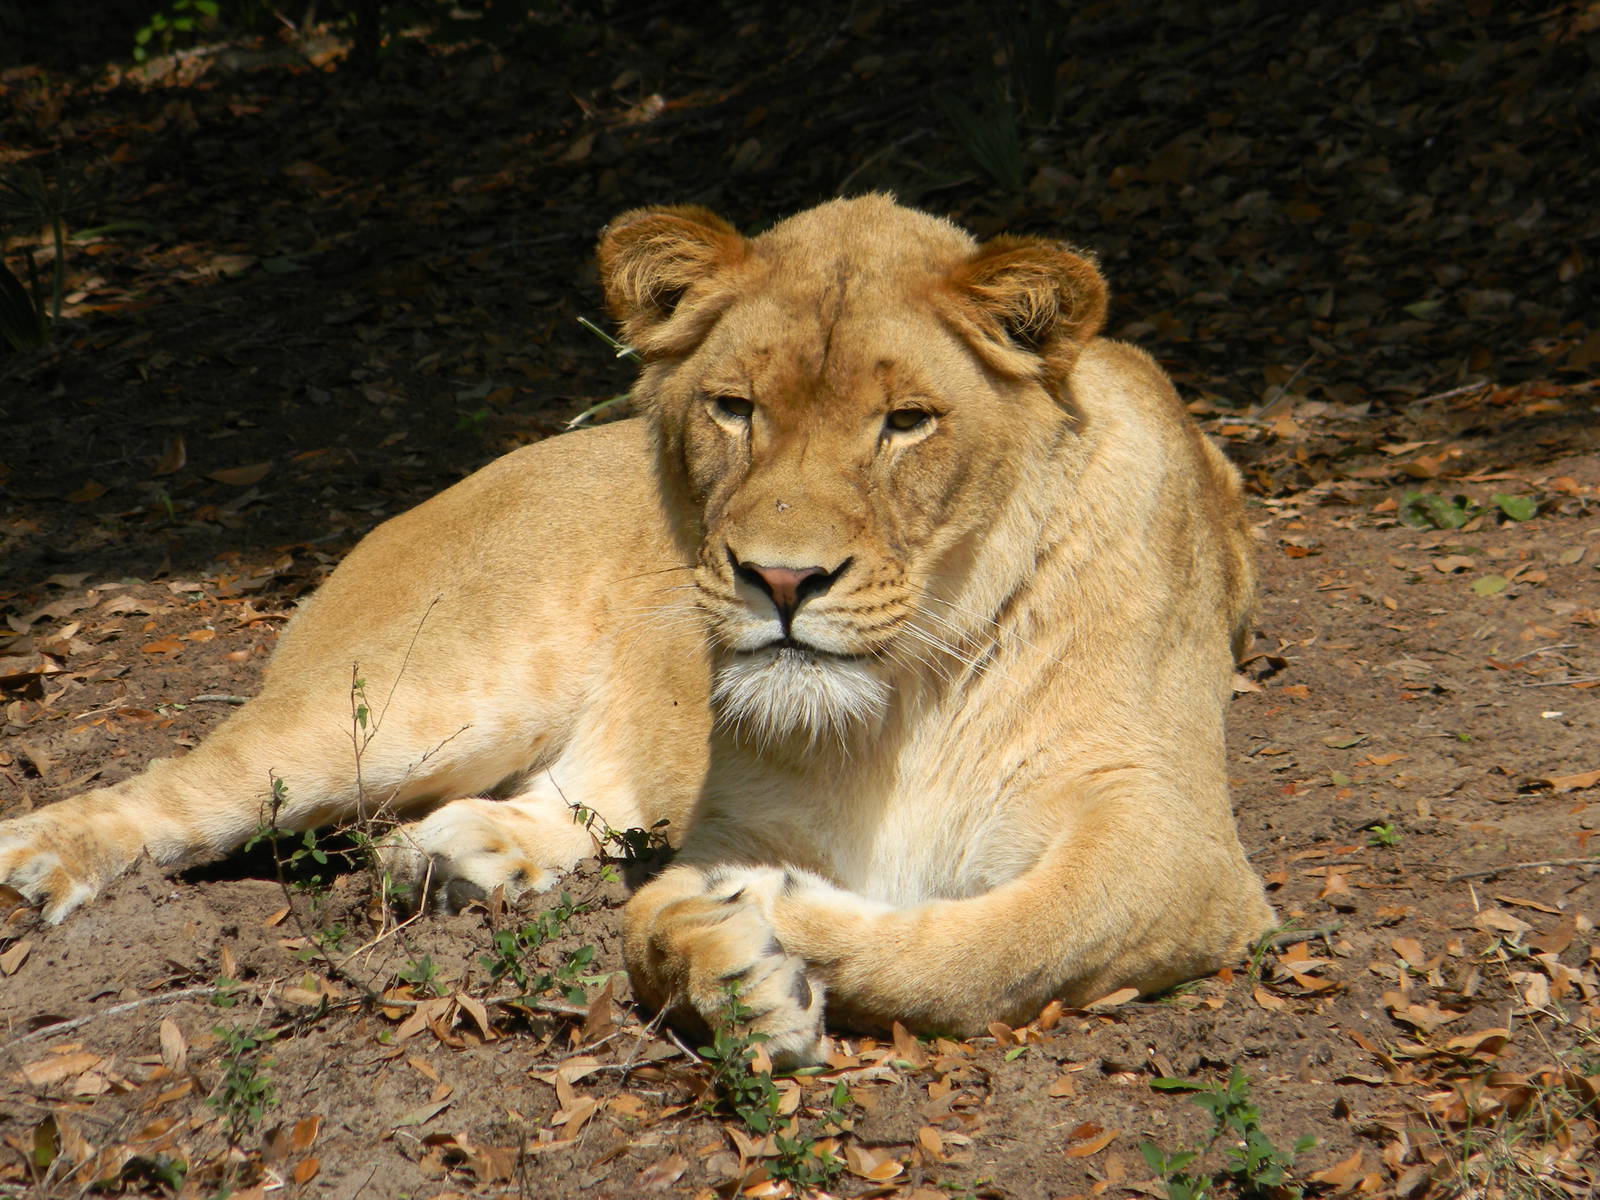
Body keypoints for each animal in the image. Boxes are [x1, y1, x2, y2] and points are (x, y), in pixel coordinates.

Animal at [0, 195, 1272, 1064]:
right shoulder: (736, 817)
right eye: (734, 408)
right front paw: (731, 950)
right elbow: (652, 927)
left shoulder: (1170, 842)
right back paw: (36, 868)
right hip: (415, 703)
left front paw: (769, 931)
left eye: (908, 422)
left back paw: (460, 858)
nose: (780, 578)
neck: (904, 696)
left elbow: (1001, 945)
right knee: (178, 788)